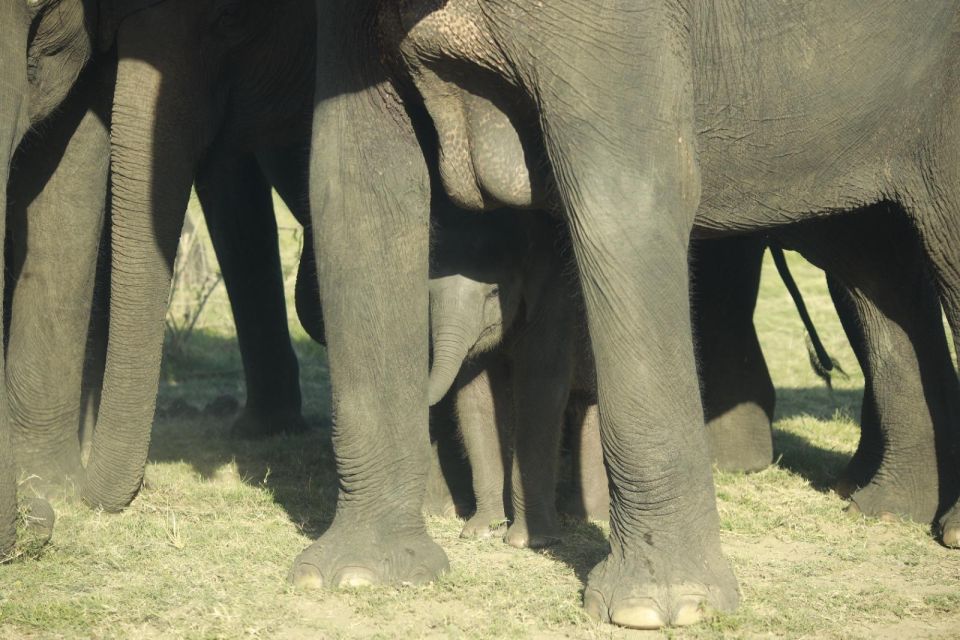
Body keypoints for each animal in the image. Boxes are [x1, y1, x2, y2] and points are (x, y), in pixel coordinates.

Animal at [296, 0, 960, 632]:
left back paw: (936, 525)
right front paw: (355, 576)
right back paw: (890, 510)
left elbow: (623, 193)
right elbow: (350, 183)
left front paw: (661, 609)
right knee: (876, 263)